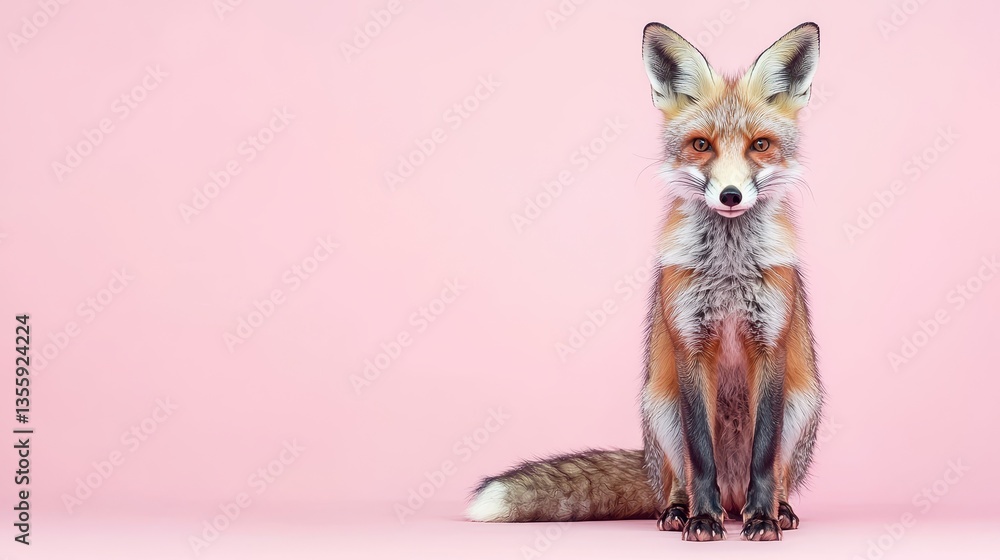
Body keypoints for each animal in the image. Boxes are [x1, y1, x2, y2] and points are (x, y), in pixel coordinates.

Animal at [467, 22, 824, 542]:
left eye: (759, 145)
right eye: (701, 145)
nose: (730, 195)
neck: (729, 269)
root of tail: (731, 497)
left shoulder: (770, 344)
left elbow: (763, 455)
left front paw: (763, 520)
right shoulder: (689, 345)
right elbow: (700, 457)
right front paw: (700, 519)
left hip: (803, 405)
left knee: (774, 472)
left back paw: (775, 510)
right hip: (660, 407)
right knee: (677, 479)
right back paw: (681, 511)